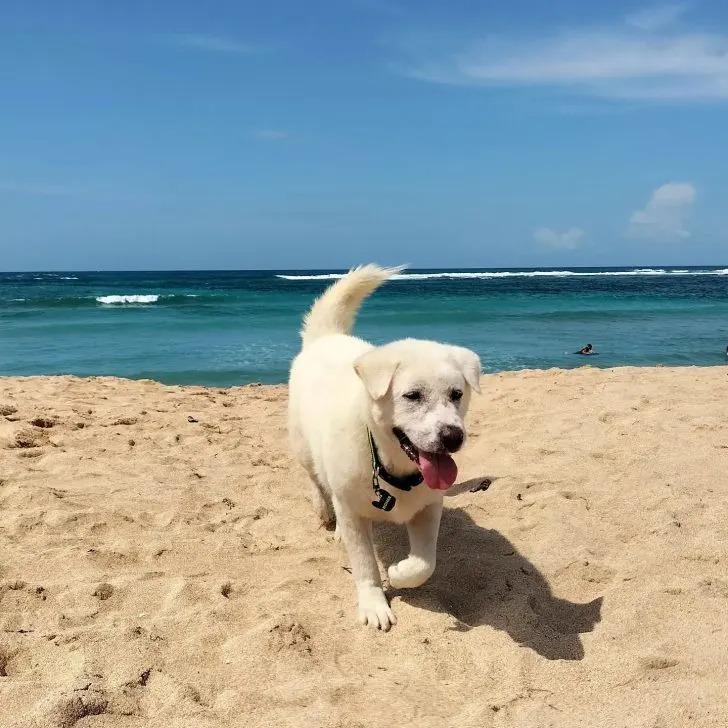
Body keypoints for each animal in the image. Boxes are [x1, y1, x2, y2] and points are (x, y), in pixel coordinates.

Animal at [288, 264, 480, 628]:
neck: (391, 467)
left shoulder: (429, 506)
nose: (453, 437)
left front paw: (401, 572)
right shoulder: (352, 512)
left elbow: (425, 562)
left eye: (457, 394)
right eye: (412, 395)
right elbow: (365, 565)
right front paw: (374, 604)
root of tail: (326, 337)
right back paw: (325, 513)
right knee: (317, 482)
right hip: (305, 450)